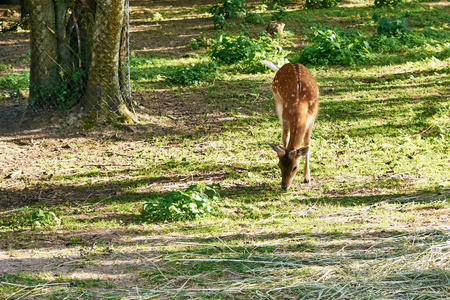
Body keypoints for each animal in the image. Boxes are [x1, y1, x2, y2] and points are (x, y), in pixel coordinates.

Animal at [260, 59, 320, 189]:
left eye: (295, 167)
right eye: (279, 165)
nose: (284, 186)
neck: (300, 104)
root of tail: (289, 64)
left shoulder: (312, 117)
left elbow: (307, 141)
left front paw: (307, 177)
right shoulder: (285, 117)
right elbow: (285, 138)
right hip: (277, 101)